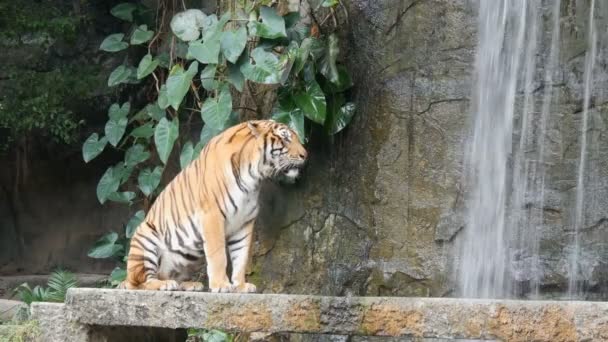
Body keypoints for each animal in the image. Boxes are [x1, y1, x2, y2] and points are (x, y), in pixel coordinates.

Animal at [119, 119, 308, 292]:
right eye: (285, 139)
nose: (305, 155)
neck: (254, 177)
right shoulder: (213, 215)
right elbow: (218, 256)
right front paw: (222, 285)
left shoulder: (245, 222)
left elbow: (241, 257)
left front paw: (240, 286)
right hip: (145, 238)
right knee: (139, 283)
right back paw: (164, 285)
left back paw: (189, 285)